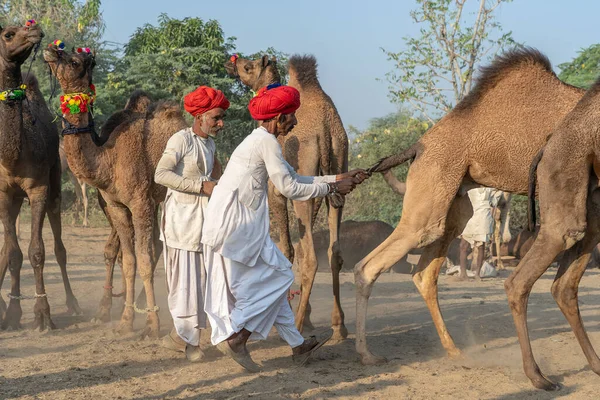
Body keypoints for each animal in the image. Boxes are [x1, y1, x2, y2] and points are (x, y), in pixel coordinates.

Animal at [0, 21, 79, 330]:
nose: (35, 31)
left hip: (54, 184)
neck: (12, 157)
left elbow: (37, 251)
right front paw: (12, 313)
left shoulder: (38, 189)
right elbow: (13, 254)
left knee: (59, 247)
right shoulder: (4, 193)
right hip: (17, 199)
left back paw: (72, 303)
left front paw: (42, 314)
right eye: (8, 34)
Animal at [44, 44, 184, 338]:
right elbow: (128, 260)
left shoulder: (140, 202)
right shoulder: (116, 205)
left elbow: (143, 258)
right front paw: (125, 319)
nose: (50, 50)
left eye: (74, 61)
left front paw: (151, 324)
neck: (108, 157)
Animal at [224, 54, 346, 340]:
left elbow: (288, 250)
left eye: (248, 66)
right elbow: (298, 249)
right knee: (333, 252)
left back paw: (298, 327)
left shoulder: (275, 193)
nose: (231, 62)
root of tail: (326, 130)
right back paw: (339, 326)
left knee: (311, 259)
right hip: (339, 168)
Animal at [356, 47, 584, 366]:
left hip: (454, 204)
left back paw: (453, 349)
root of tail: (419, 145)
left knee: (424, 273)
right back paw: (366, 353)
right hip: (434, 184)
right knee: (368, 266)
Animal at [506, 79, 600, 390]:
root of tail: (546, 147)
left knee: (564, 286)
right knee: (521, 281)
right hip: (565, 173)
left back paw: (596, 365)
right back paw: (539, 378)